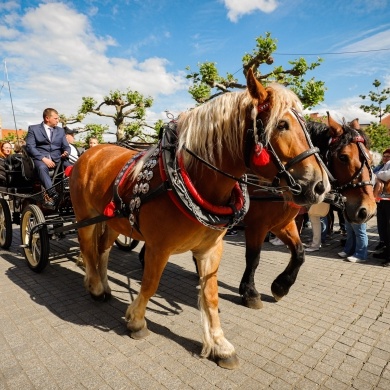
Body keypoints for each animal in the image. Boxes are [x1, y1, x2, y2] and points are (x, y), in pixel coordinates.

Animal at [70, 68, 330, 370]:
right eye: (282, 125)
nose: (320, 186)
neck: (190, 179)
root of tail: (93, 151)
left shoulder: (211, 248)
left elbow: (211, 294)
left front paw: (220, 344)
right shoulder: (159, 247)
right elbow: (150, 284)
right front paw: (136, 321)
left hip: (113, 221)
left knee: (103, 250)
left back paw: (105, 284)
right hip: (85, 216)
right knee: (88, 249)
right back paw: (95, 285)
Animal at [239, 114, 376, 310]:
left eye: (371, 159)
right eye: (343, 157)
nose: (368, 210)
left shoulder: (282, 223)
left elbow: (299, 253)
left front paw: (281, 286)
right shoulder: (257, 224)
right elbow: (253, 257)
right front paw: (250, 291)